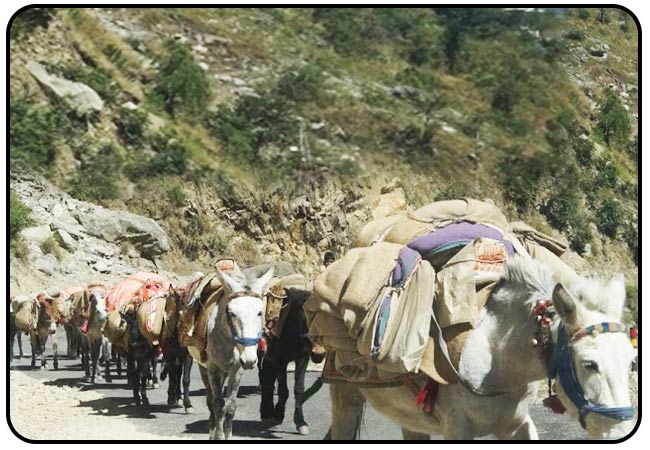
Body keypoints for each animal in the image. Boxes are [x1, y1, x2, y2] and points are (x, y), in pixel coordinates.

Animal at [197, 268, 274, 440]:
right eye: (231, 313)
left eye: (260, 313)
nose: (249, 360)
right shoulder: (213, 368)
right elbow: (219, 405)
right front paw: (218, 436)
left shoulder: (237, 370)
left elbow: (231, 406)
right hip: (203, 367)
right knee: (210, 400)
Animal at [330, 258, 632, 442]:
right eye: (589, 364)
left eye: (632, 363)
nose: (622, 431)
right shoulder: (457, 429)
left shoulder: (516, 426)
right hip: (345, 394)